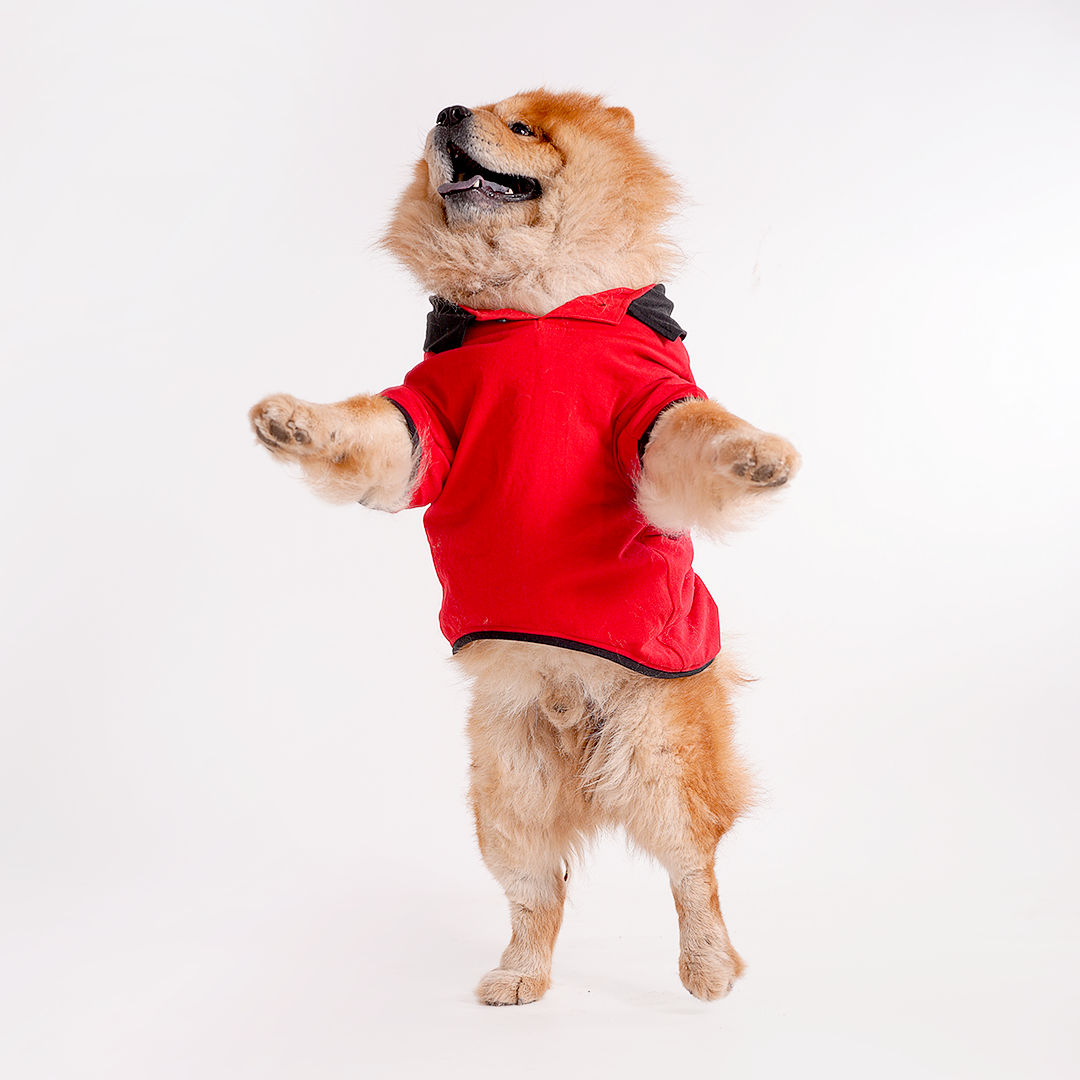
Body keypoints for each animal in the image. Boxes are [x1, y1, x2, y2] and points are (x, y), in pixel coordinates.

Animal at [250, 89, 800, 1005]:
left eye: (524, 130)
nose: (447, 111)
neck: (537, 310)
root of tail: (577, 726)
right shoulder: (424, 426)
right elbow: (361, 423)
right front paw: (292, 420)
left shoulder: (650, 415)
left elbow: (702, 429)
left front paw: (758, 454)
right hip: (508, 788)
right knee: (541, 891)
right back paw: (518, 978)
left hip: (660, 757)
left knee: (694, 870)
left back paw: (709, 969)